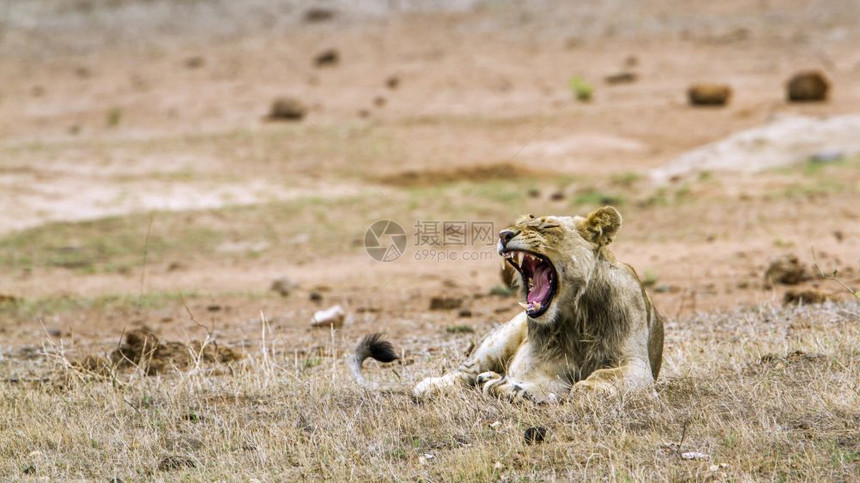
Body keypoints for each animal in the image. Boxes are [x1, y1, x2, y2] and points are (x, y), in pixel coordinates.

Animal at [350, 206, 664, 402]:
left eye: (548, 227)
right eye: (517, 226)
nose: (503, 235)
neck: (574, 315)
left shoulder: (636, 365)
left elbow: (604, 378)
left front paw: (586, 386)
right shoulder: (539, 370)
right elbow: (529, 384)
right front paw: (509, 389)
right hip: (499, 340)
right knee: (464, 373)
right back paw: (439, 385)